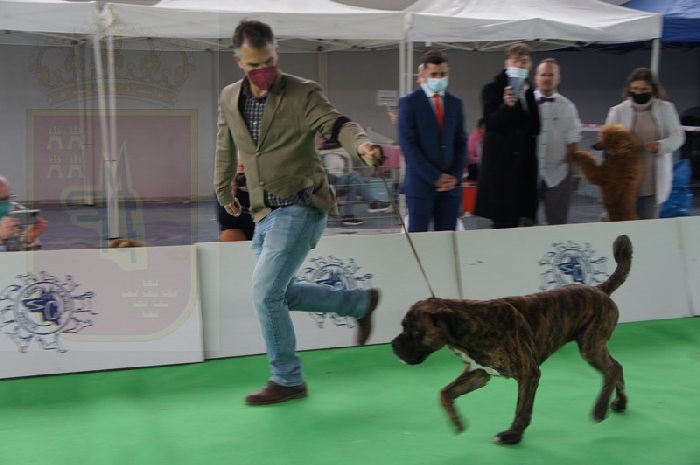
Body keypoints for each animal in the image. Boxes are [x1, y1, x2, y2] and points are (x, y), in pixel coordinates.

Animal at [392, 235, 632, 445]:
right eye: (403, 326)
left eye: (415, 331)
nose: (394, 345)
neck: (472, 324)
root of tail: (599, 289)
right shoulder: (479, 373)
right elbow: (444, 393)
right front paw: (457, 422)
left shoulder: (528, 374)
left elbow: (522, 408)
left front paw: (513, 435)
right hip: (595, 345)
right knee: (617, 366)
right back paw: (620, 403)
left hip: (590, 347)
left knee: (610, 371)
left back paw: (600, 409)